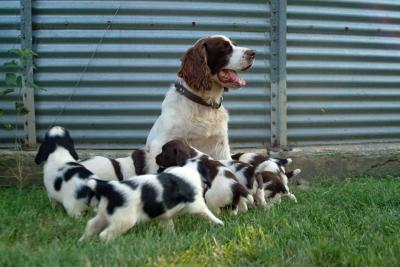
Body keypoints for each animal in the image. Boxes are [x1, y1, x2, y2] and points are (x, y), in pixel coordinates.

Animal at [80, 166, 225, 242]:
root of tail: (109, 187)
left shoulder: (166, 215)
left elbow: (169, 226)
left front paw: (171, 237)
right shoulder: (197, 203)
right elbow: (208, 213)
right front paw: (220, 223)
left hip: (104, 214)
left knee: (91, 224)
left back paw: (83, 241)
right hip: (124, 220)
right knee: (104, 235)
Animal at [145, 35, 255, 173]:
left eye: (234, 44)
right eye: (224, 47)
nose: (253, 53)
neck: (205, 104)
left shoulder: (221, 145)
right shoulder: (160, 143)